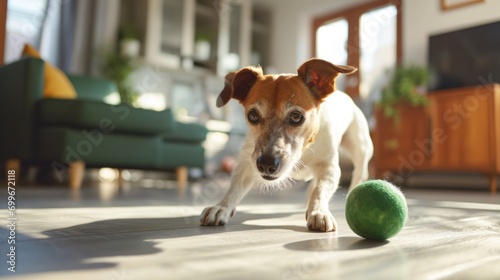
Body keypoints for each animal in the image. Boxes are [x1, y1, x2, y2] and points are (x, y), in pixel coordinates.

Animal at [201, 58, 374, 231]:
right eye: (253, 116)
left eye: (296, 117)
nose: (266, 165)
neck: (304, 150)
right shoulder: (247, 164)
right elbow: (235, 188)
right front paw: (221, 207)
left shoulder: (329, 167)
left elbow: (321, 188)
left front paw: (318, 211)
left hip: (361, 148)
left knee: (358, 172)